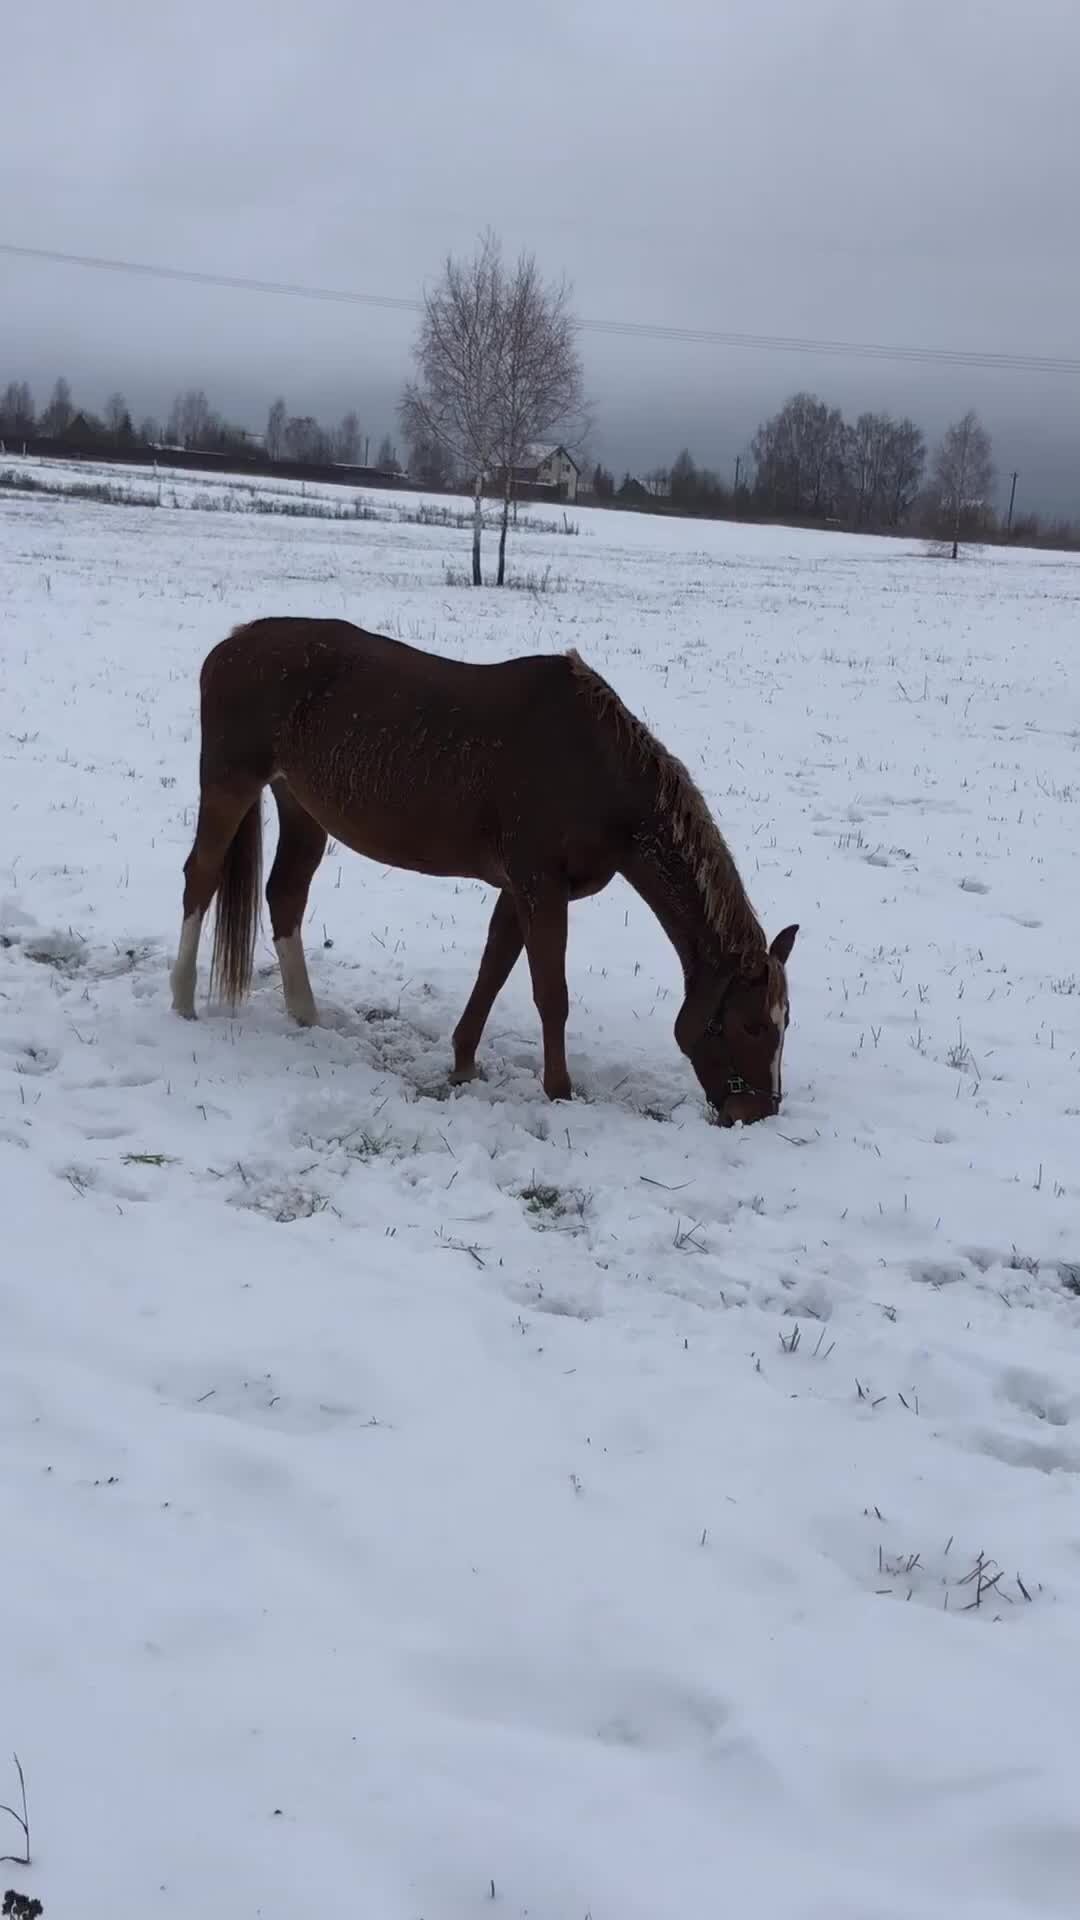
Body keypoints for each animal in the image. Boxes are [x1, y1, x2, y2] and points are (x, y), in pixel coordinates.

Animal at [166, 614, 791, 1121]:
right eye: (753, 1025)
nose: (757, 1112)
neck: (599, 770)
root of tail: (233, 643)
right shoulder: (541, 887)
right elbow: (551, 994)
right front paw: (559, 1093)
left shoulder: (519, 891)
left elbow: (493, 972)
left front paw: (464, 1063)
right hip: (229, 785)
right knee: (200, 878)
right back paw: (183, 1001)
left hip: (301, 807)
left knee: (285, 895)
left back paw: (306, 1015)